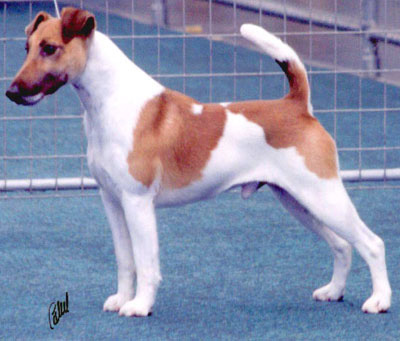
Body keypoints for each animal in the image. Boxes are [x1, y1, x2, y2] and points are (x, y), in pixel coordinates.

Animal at [7, 7, 392, 316]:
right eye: (27, 47)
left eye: (49, 48)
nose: (11, 92)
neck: (110, 101)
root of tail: (298, 106)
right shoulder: (112, 201)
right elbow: (125, 261)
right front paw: (122, 299)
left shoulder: (137, 202)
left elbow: (146, 263)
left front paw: (140, 306)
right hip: (297, 200)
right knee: (342, 245)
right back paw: (333, 292)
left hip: (323, 196)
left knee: (371, 243)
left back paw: (379, 301)